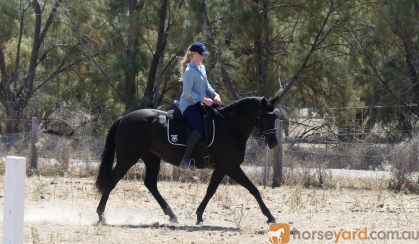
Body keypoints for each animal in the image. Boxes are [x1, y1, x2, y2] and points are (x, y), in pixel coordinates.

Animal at [95, 96, 278, 225]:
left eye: (275, 116)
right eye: (265, 117)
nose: (273, 143)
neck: (230, 127)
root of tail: (124, 118)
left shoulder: (221, 168)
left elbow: (210, 191)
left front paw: (199, 216)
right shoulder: (231, 167)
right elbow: (253, 189)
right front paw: (270, 216)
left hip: (152, 159)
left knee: (150, 184)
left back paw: (172, 215)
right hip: (128, 159)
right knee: (112, 182)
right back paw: (101, 216)